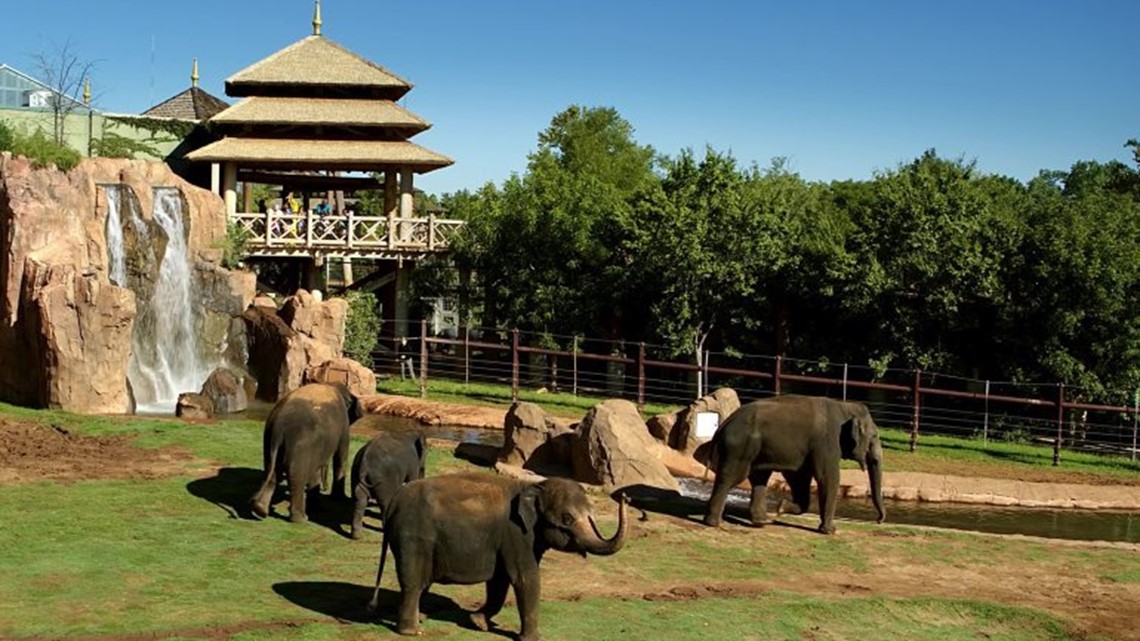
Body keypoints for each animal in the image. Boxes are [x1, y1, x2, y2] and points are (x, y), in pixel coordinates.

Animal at [250, 380, 364, 522]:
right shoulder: (343, 423)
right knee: (297, 477)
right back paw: (301, 519)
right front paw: (339, 499)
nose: (325, 488)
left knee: (272, 472)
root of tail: (279, 426)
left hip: (269, 441)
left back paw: (260, 510)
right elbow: (341, 454)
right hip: (301, 446)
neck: (331, 384)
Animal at [369, 469, 629, 638]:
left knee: (422, 582)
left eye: (591, 514)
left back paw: (421, 618)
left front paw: (478, 622)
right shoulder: (517, 534)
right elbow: (525, 578)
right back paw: (413, 631)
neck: (532, 486)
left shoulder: (508, 540)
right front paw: (533, 639)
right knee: (413, 581)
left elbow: (500, 581)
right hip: (414, 537)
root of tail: (393, 503)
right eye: (567, 519)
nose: (625, 496)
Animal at [697, 392, 884, 531]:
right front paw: (830, 530)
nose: (879, 520)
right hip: (740, 447)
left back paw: (762, 522)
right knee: (732, 477)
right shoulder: (826, 443)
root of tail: (723, 424)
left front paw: (781, 507)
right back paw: (714, 523)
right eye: (874, 436)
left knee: (759, 477)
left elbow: (799, 477)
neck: (844, 406)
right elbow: (827, 478)